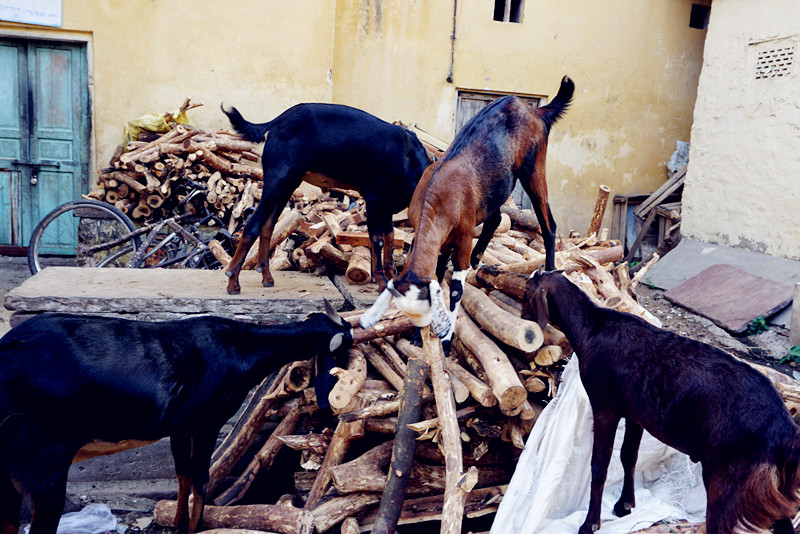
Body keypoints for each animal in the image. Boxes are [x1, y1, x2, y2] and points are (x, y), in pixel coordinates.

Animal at [0, 306, 350, 534]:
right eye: (343, 340)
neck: (238, 348)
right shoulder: (206, 423)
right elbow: (200, 479)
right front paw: (193, 527)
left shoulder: (180, 428)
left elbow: (181, 475)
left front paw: (179, 524)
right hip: (44, 463)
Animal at [220, 102, 432, 296]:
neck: (409, 158)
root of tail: (277, 121)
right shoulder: (374, 199)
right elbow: (377, 239)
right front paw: (381, 283)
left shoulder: (387, 205)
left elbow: (390, 237)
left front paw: (391, 280)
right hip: (276, 179)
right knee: (252, 225)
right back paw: (233, 282)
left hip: (288, 183)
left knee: (268, 226)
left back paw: (266, 277)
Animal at [360, 76, 572, 348]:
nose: (420, 330)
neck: (438, 198)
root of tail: (534, 110)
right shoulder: (437, 239)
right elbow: (438, 272)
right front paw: (418, 336)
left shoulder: (462, 236)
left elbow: (456, 288)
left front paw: (446, 338)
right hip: (494, 190)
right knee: (496, 218)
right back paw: (478, 257)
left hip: (534, 167)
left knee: (548, 224)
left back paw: (549, 272)